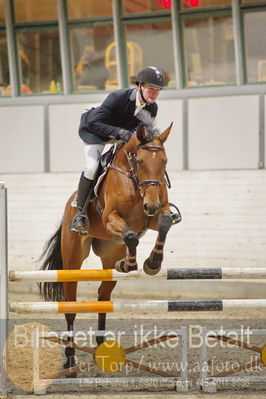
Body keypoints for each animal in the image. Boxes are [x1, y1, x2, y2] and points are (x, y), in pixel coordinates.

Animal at [40, 113, 175, 376]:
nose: (151, 205)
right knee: (70, 307)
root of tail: (70, 203)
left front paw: (152, 262)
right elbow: (131, 236)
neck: (134, 181)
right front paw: (131, 263)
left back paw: (102, 349)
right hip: (73, 260)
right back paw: (70, 361)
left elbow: (164, 224)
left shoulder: (156, 215)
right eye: (139, 162)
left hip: (109, 255)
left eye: (164, 161)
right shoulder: (112, 218)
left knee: (103, 297)